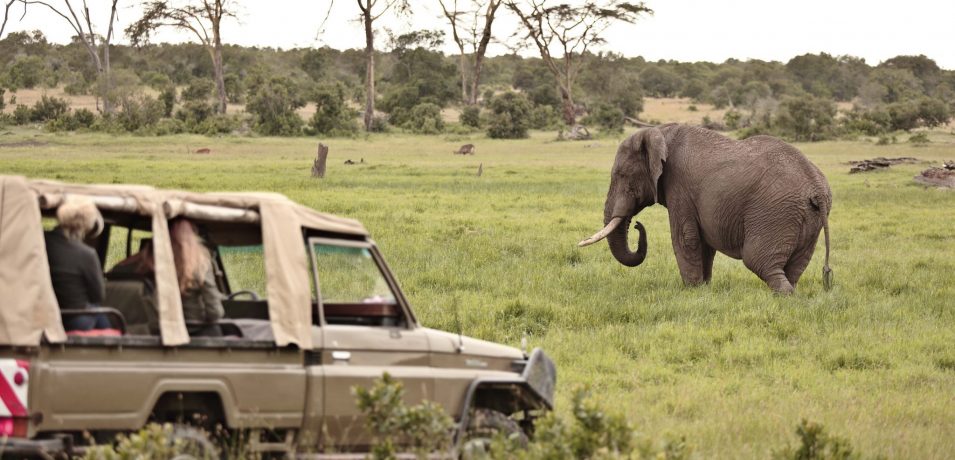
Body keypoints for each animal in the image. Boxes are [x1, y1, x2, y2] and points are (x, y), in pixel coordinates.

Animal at [580, 124, 832, 292]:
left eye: (622, 175)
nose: (638, 226)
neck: (659, 131)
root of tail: (816, 188)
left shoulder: (679, 185)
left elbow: (685, 237)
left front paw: (691, 290)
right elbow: (704, 242)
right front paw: (704, 288)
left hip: (775, 212)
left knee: (757, 260)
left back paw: (783, 294)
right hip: (807, 219)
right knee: (796, 266)